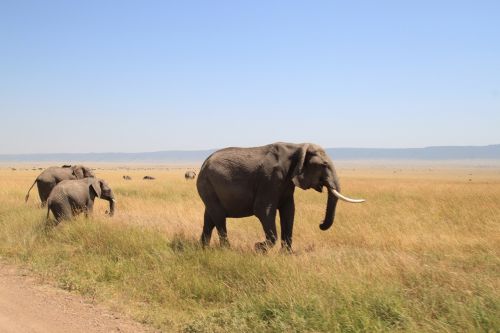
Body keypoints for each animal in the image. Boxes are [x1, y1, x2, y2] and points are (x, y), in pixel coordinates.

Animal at [195, 142, 364, 252]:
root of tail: (203, 163)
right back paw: (226, 251)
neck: (298, 147)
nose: (321, 224)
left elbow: (289, 211)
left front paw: (286, 254)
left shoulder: (287, 181)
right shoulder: (270, 178)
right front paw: (258, 248)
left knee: (209, 217)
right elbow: (263, 210)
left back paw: (203, 249)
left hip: (209, 187)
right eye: (324, 165)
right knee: (219, 217)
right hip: (207, 184)